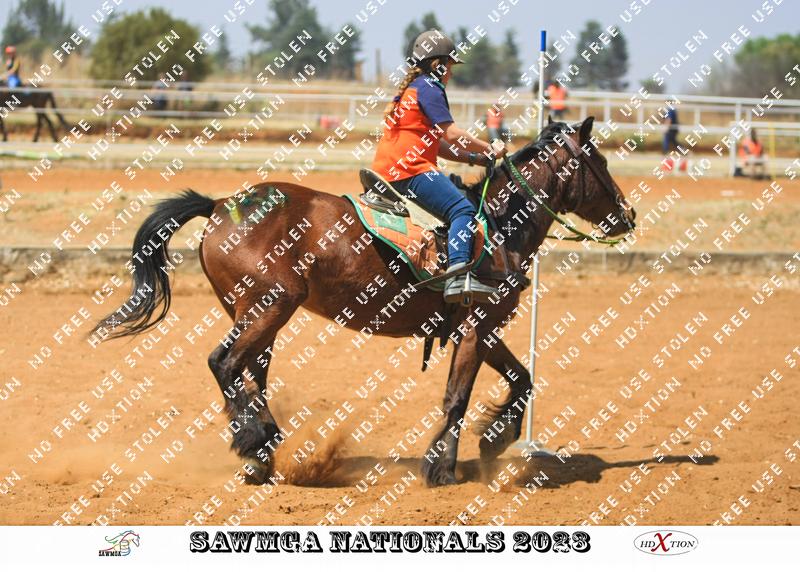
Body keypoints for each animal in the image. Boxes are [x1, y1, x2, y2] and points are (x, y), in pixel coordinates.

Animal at [91, 117, 636, 487]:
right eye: (602, 161)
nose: (628, 215)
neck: (498, 226)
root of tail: (222, 205)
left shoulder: (482, 330)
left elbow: (522, 380)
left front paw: (492, 442)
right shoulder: (476, 326)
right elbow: (457, 397)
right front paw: (442, 468)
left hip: (256, 314)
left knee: (250, 376)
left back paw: (262, 452)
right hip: (271, 306)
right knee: (223, 363)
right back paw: (255, 440)